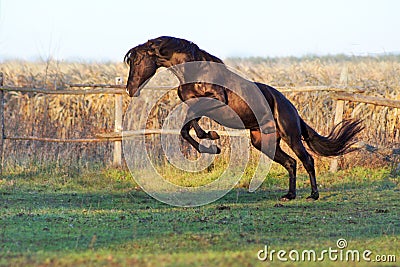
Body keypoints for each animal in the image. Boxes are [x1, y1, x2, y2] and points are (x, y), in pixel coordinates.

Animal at [123, 37, 364, 201]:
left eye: (137, 61)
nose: (130, 89)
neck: (198, 71)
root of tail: (290, 106)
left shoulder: (216, 100)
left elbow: (190, 125)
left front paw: (212, 139)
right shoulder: (192, 103)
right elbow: (186, 127)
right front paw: (211, 143)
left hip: (291, 136)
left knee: (307, 160)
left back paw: (313, 195)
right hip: (263, 142)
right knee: (291, 162)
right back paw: (289, 195)